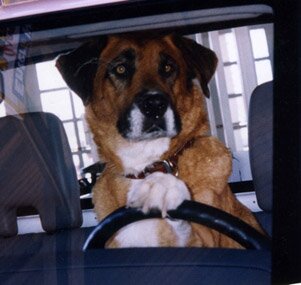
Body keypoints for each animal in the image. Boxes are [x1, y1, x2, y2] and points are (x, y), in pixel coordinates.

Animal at [56, 32, 262, 246]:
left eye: (167, 67)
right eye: (121, 69)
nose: (154, 105)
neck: (146, 165)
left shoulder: (210, 239)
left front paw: (162, 186)